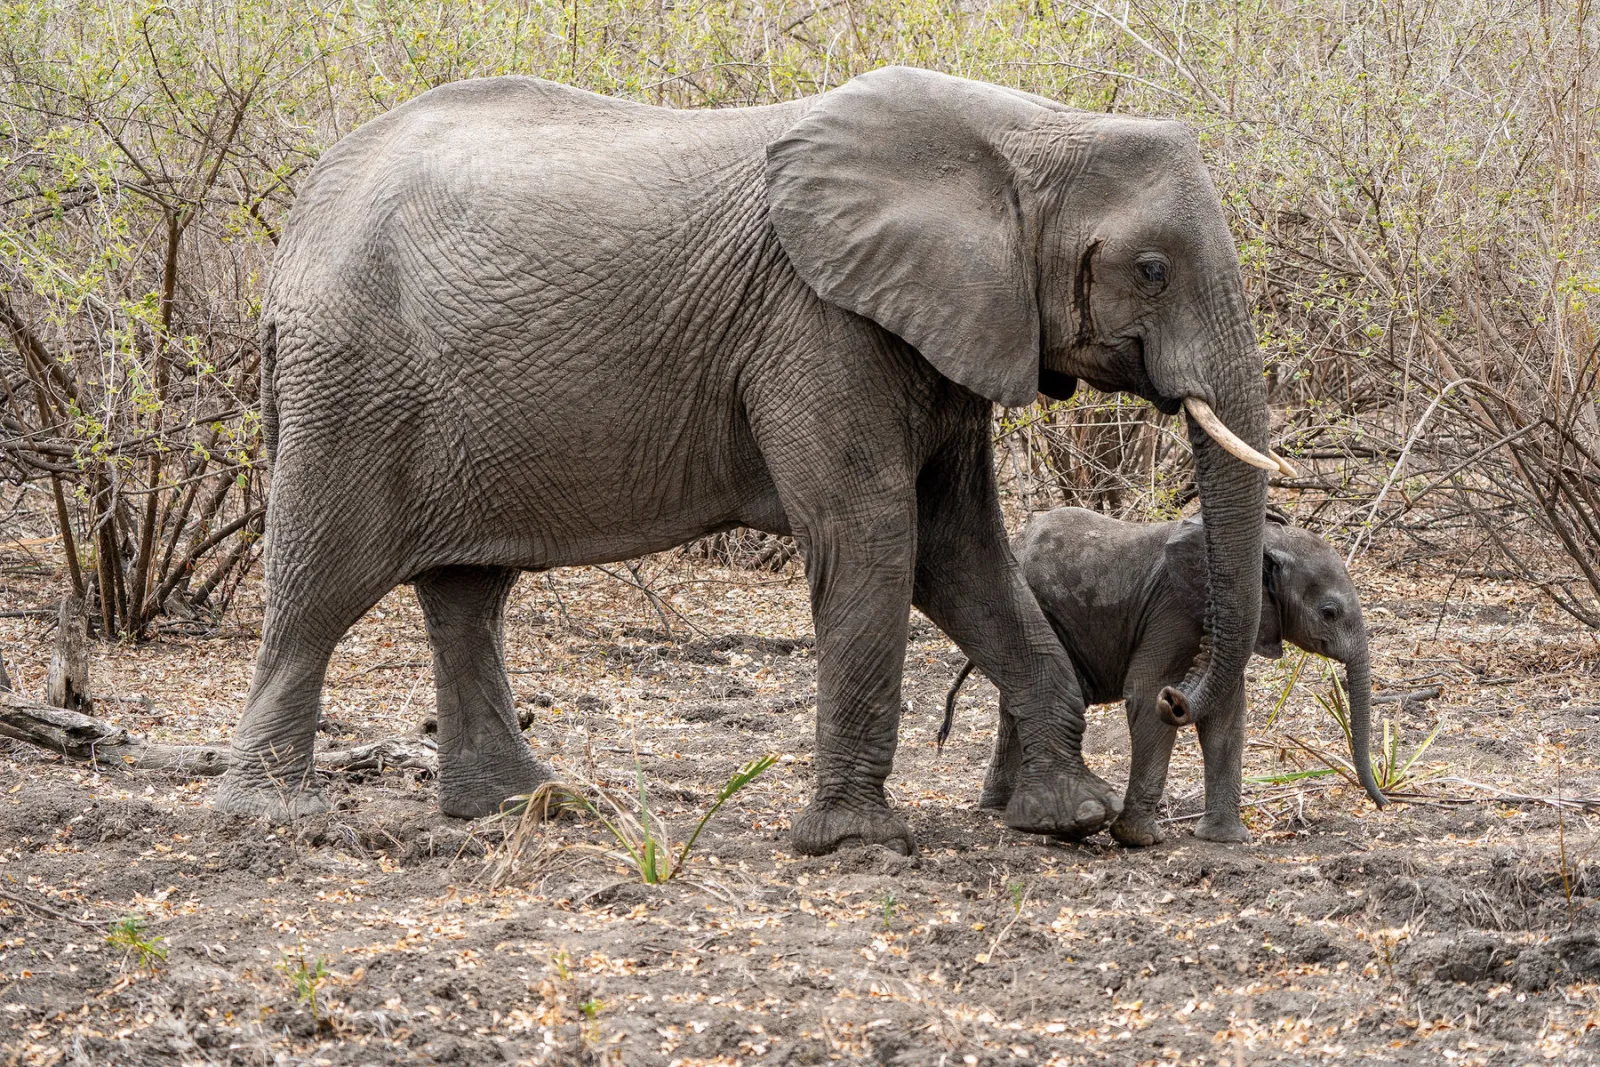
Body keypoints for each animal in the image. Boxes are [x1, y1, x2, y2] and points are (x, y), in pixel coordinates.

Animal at [215, 66, 1283, 857]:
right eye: (1151, 270)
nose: (1177, 698)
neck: (1029, 133)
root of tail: (298, 227)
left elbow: (961, 551)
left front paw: (1069, 819)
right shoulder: (818, 320)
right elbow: (874, 533)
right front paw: (855, 844)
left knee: (467, 594)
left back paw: (533, 806)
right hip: (352, 383)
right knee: (320, 587)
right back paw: (274, 815)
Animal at [943, 508, 1386, 846]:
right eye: (1329, 612)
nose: (1383, 803)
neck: (1267, 541)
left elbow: (1226, 716)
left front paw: (1225, 840)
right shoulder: (1171, 612)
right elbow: (1145, 693)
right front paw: (1140, 840)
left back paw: (1001, 807)